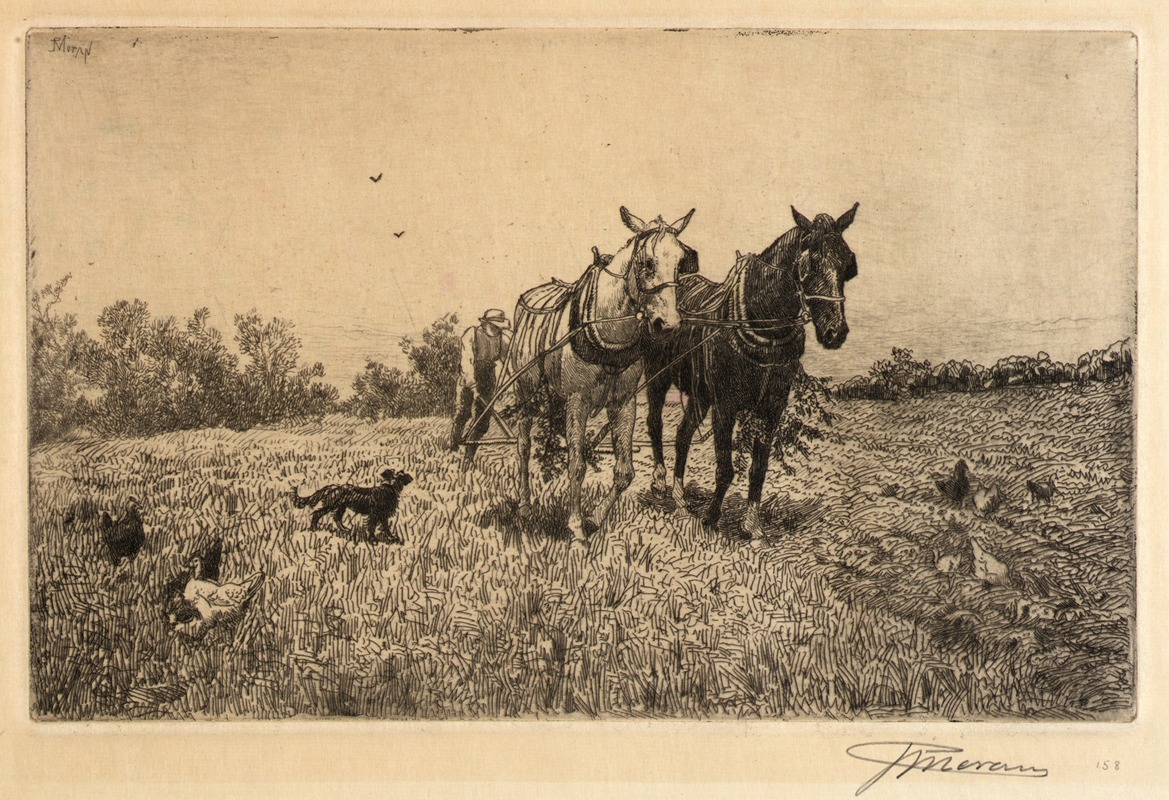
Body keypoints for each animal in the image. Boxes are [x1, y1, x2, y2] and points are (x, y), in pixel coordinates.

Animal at [507, 205, 696, 542]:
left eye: (680, 262)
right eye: (647, 263)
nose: (669, 324)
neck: (608, 327)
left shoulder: (624, 402)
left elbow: (624, 472)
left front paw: (594, 518)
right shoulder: (577, 400)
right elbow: (576, 465)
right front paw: (575, 525)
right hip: (526, 393)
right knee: (523, 447)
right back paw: (525, 507)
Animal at [640, 201, 860, 538]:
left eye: (848, 264)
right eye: (810, 264)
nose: (835, 332)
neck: (763, 326)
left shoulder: (771, 409)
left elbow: (758, 468)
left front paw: (752, 525)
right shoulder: (726, 407)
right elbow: (725, 467)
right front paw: (712, 518)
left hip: (701, 395)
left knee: (683, 433)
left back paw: (680, 499)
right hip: (658, 376)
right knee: (655, 423)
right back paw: (661, 481)